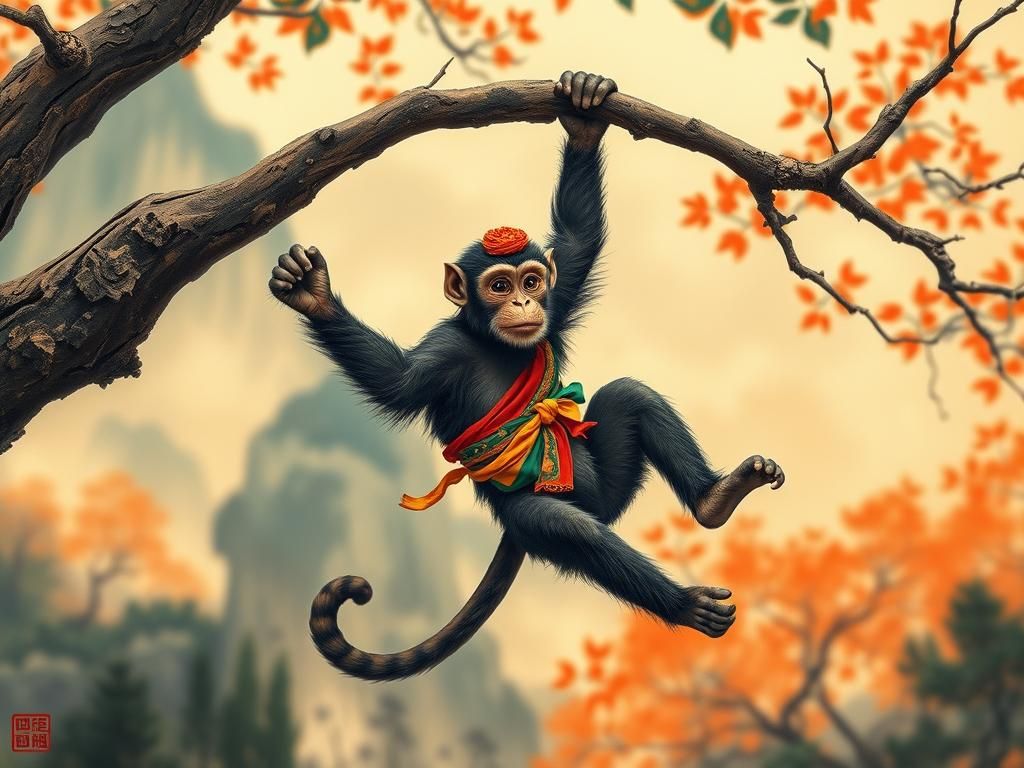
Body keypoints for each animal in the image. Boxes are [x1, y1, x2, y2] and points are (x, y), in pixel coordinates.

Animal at [269, 71, 785, 682]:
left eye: (533, 280)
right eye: (498, 285)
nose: (521, 302)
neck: (496, 343)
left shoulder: (557, 305)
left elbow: (578, 240)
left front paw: (584, 116)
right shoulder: (445, 351)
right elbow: (395, 380)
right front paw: (315, 297)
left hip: (608, 485)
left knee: (629, 397)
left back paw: (713, 499)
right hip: (532, 515)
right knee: (571, 530)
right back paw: (683, 600)